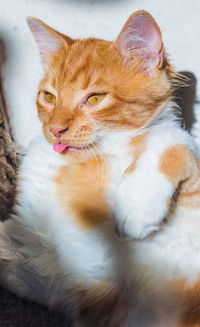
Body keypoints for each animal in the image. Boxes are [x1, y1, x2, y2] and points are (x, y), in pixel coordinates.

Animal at [0, 9, 200, 326]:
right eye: (49, 97)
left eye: (94, 98)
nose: (56, 129)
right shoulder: (59, 281)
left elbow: (171, 137)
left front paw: (137, 206)